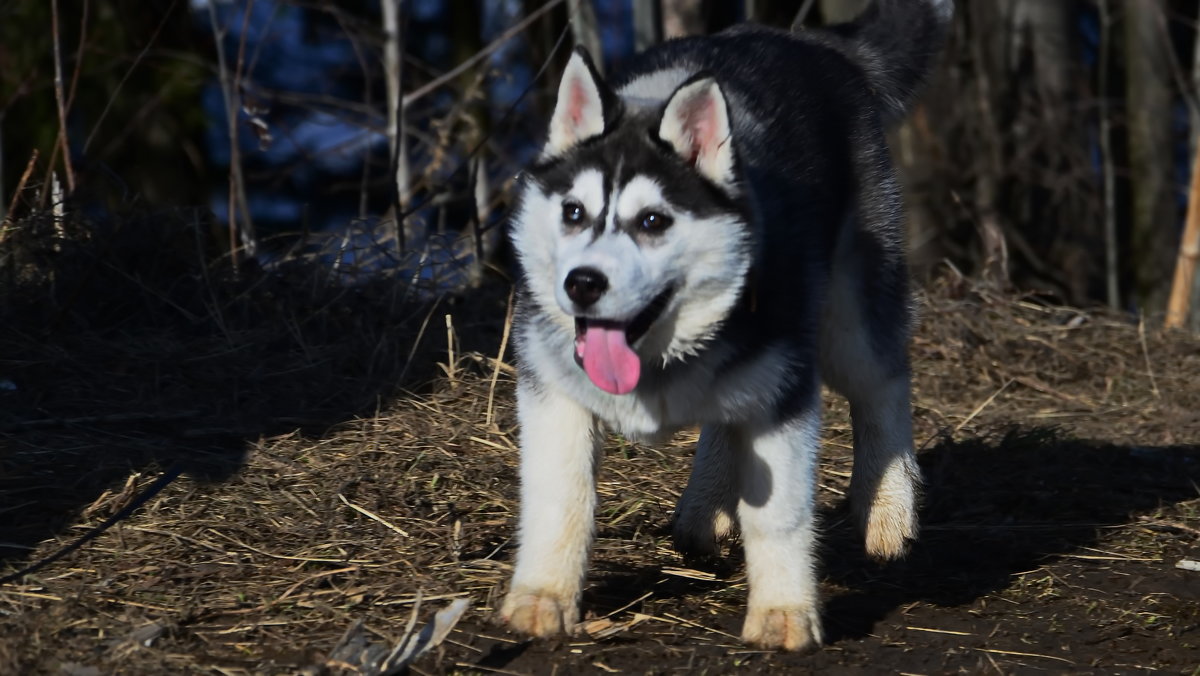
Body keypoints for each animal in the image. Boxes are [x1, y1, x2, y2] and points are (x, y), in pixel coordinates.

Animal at [501, 0, 950, 653]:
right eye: (573, 212)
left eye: (653, 221)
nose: (582, 283)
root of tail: (811, 42)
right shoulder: (553, 391)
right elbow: (562, 498)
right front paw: (542, 598)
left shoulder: (785, 396)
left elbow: (779, 513)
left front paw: (784, 612)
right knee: (727, 414)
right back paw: (705, 507)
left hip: (848, 320)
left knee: (882, 382)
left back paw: (888, 511)